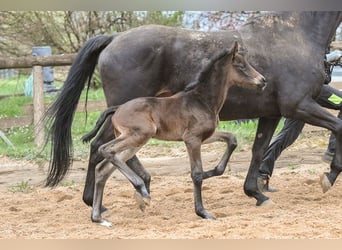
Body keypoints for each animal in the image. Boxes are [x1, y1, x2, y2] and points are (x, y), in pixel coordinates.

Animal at [89, 42, 266, 227]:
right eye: (240, 65)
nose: (262, 80)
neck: (202, 101)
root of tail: (117, 109)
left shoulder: (205, 136)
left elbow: (231, 139)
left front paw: (211, 172)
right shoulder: (192, 139)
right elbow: (196, 174)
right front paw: (202, 212)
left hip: (135, 142)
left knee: (103, 169)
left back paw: (99, 218)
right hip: (140, 135)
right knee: (105, 149)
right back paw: (142, 191)